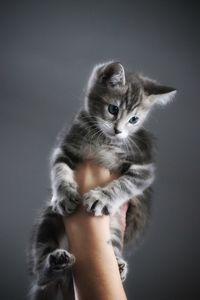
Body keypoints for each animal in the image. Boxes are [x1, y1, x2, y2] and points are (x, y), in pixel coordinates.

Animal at [27, 61, 175, 298]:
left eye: (134, 120)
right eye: (113, 109)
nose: (118, 131)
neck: (103, 139)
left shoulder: (143, 168)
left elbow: (126, 184)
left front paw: (102, 198)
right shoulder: (66, 147)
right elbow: (59, 169)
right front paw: (64, 195)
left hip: (113, 230)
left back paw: (118, 264)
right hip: (48, 218)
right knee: (40, 273)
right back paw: (54, 263)